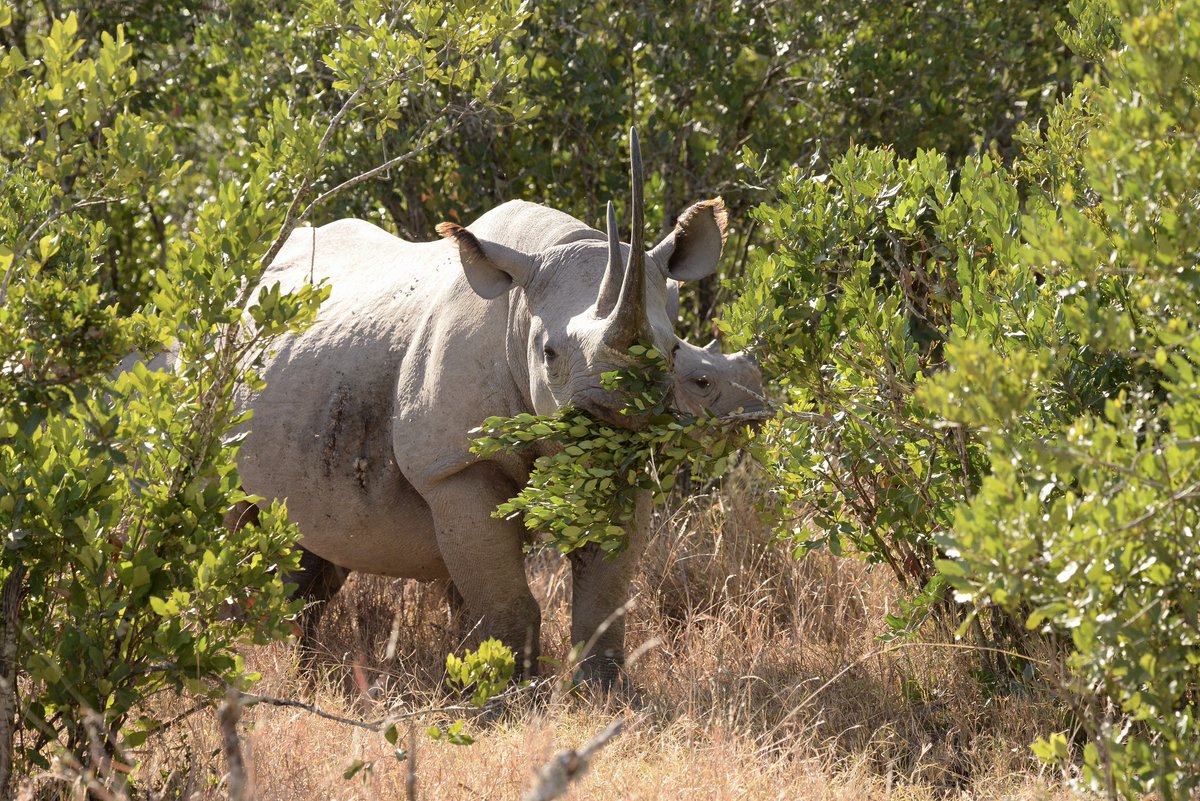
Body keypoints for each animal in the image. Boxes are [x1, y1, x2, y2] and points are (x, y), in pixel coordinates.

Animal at [233, 131, 727, 683]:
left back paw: (309, 670)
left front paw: (602, 690)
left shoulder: (630, 469)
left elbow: (605, 595)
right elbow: (506, 600)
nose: (616, 415)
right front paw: (511, 690)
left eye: (674, 351)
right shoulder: (455, 466)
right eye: (549, 354)